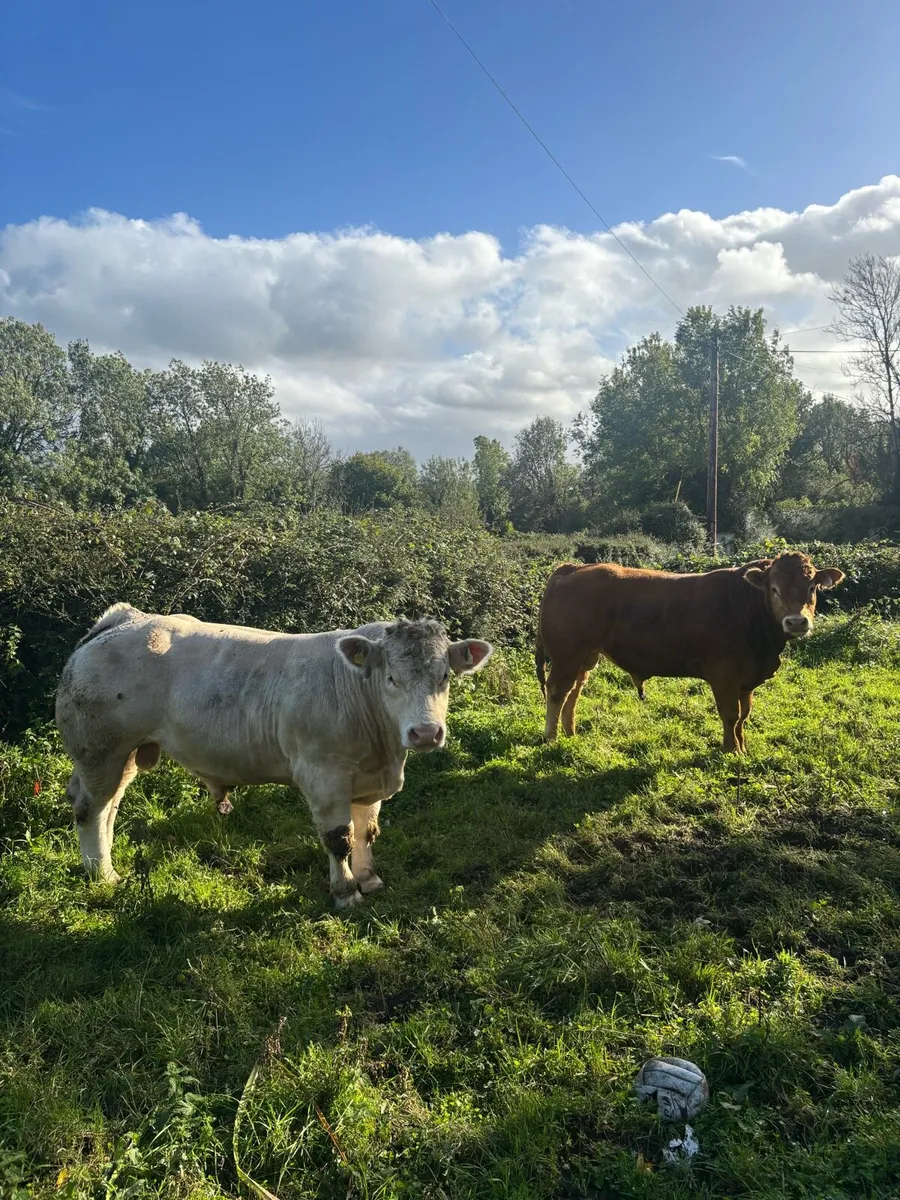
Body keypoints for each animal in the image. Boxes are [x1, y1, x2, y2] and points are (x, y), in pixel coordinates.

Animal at [55, 605, 493, 908]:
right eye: (391, 678)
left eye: (445, 677)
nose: (425, 733)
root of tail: (124, 618)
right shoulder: (324, 776)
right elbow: (339, 839)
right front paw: (346, 892)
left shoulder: (368, 780)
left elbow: (365, 831)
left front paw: (369, 880)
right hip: (100, 749)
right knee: (90, 810)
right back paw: (102, 875)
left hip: (124, 754)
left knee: (108, 807)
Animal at [535, 551, 844, 753]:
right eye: (774, 589)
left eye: (812, 587)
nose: (796, 622)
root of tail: (573, 567)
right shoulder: (725, 675)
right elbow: (730, 715)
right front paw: (731, 750)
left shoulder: (747, 679)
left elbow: (744, 715)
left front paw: (743, 747)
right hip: (566, 656)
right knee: (557, 691)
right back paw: (551, 738)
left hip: (585, 657)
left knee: (574, 691)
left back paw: (570, 733)